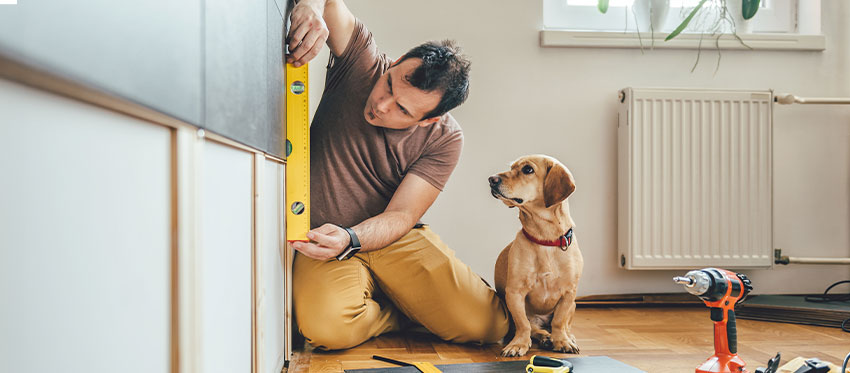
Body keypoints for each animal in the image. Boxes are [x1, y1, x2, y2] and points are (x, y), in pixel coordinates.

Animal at [486, 155, 580, 358]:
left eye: (528, 170)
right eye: (511, 167)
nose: (491, 179)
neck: (545, 240)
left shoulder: (569, 294)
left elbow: (559, 321)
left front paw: (562, 341)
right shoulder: (515, 293)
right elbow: (523, 324)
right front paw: (518, 344)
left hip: (574, 305)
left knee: (563, 325)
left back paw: (565, 337)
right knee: (535, 328)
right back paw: (545, 337)